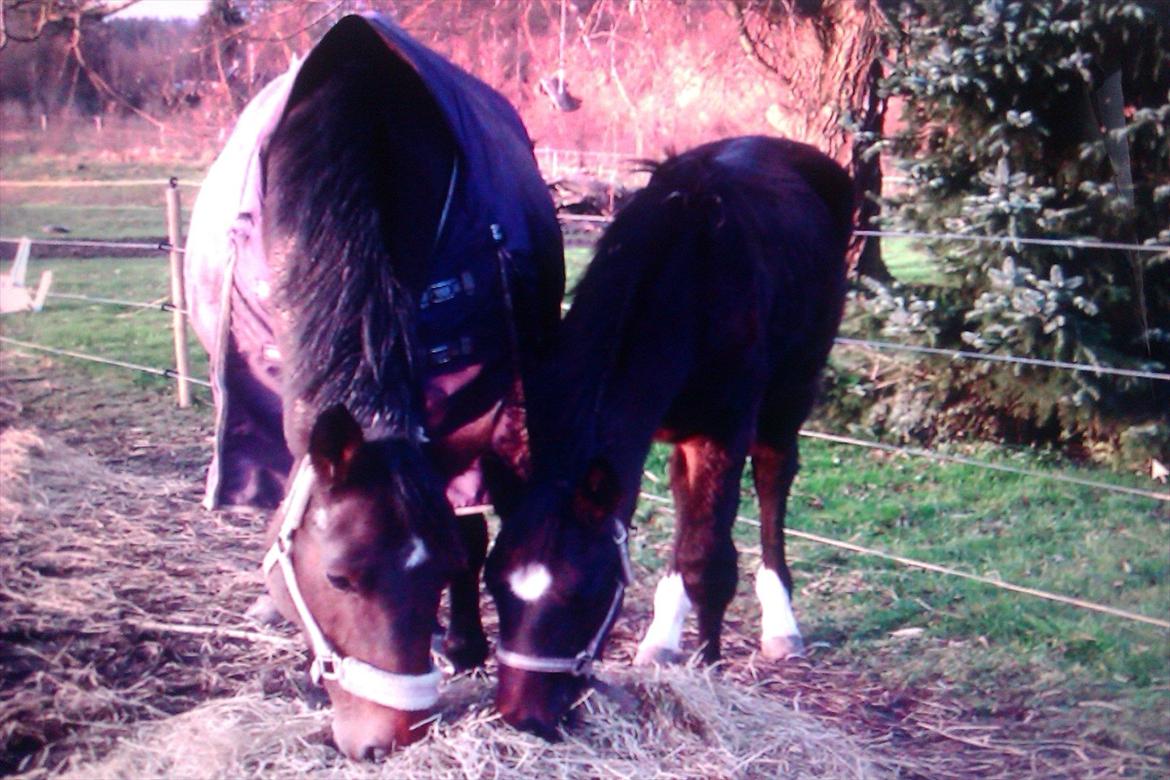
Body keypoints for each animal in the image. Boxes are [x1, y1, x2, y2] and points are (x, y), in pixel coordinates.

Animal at [479, 134, 856, 739]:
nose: (523, 718)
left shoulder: (725, 430)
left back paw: (780, 622)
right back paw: (662, 637)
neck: (691, 275)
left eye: (588, 594)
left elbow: (709, 560)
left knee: (774, 477)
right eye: (494, 583)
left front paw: (711, 669)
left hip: (790, 393)